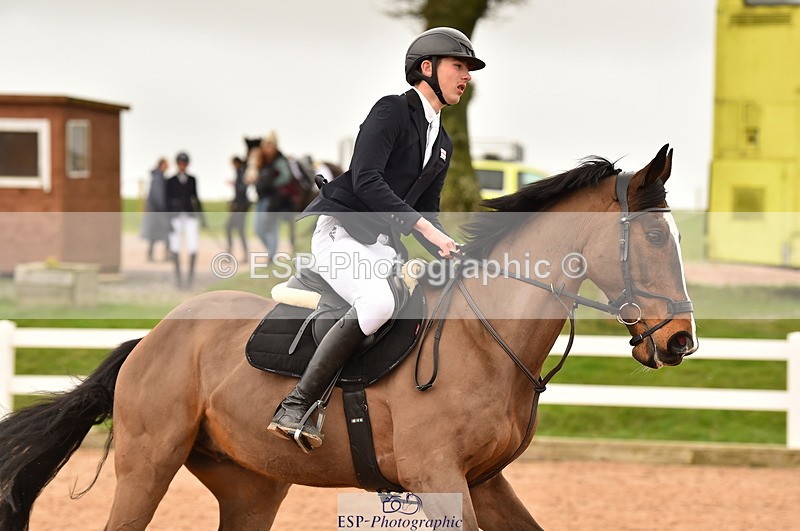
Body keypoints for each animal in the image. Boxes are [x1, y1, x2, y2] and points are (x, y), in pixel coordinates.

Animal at [0, 144, 697, 530]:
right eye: (654, 235)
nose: (680, 342)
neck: (486, 341)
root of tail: (151, 340)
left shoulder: (484, 481)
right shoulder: (439, 479)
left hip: (251, 485)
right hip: (148, 465)